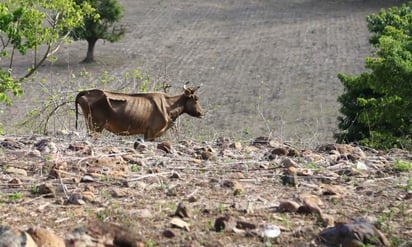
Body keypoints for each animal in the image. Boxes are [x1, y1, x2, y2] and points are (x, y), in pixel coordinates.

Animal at [76, 85, 204, 140]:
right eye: (196, 98)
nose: (202, 112)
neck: (168, 106)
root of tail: (87, 91)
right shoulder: (152, 132)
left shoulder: (147, 133)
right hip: (96, 126)